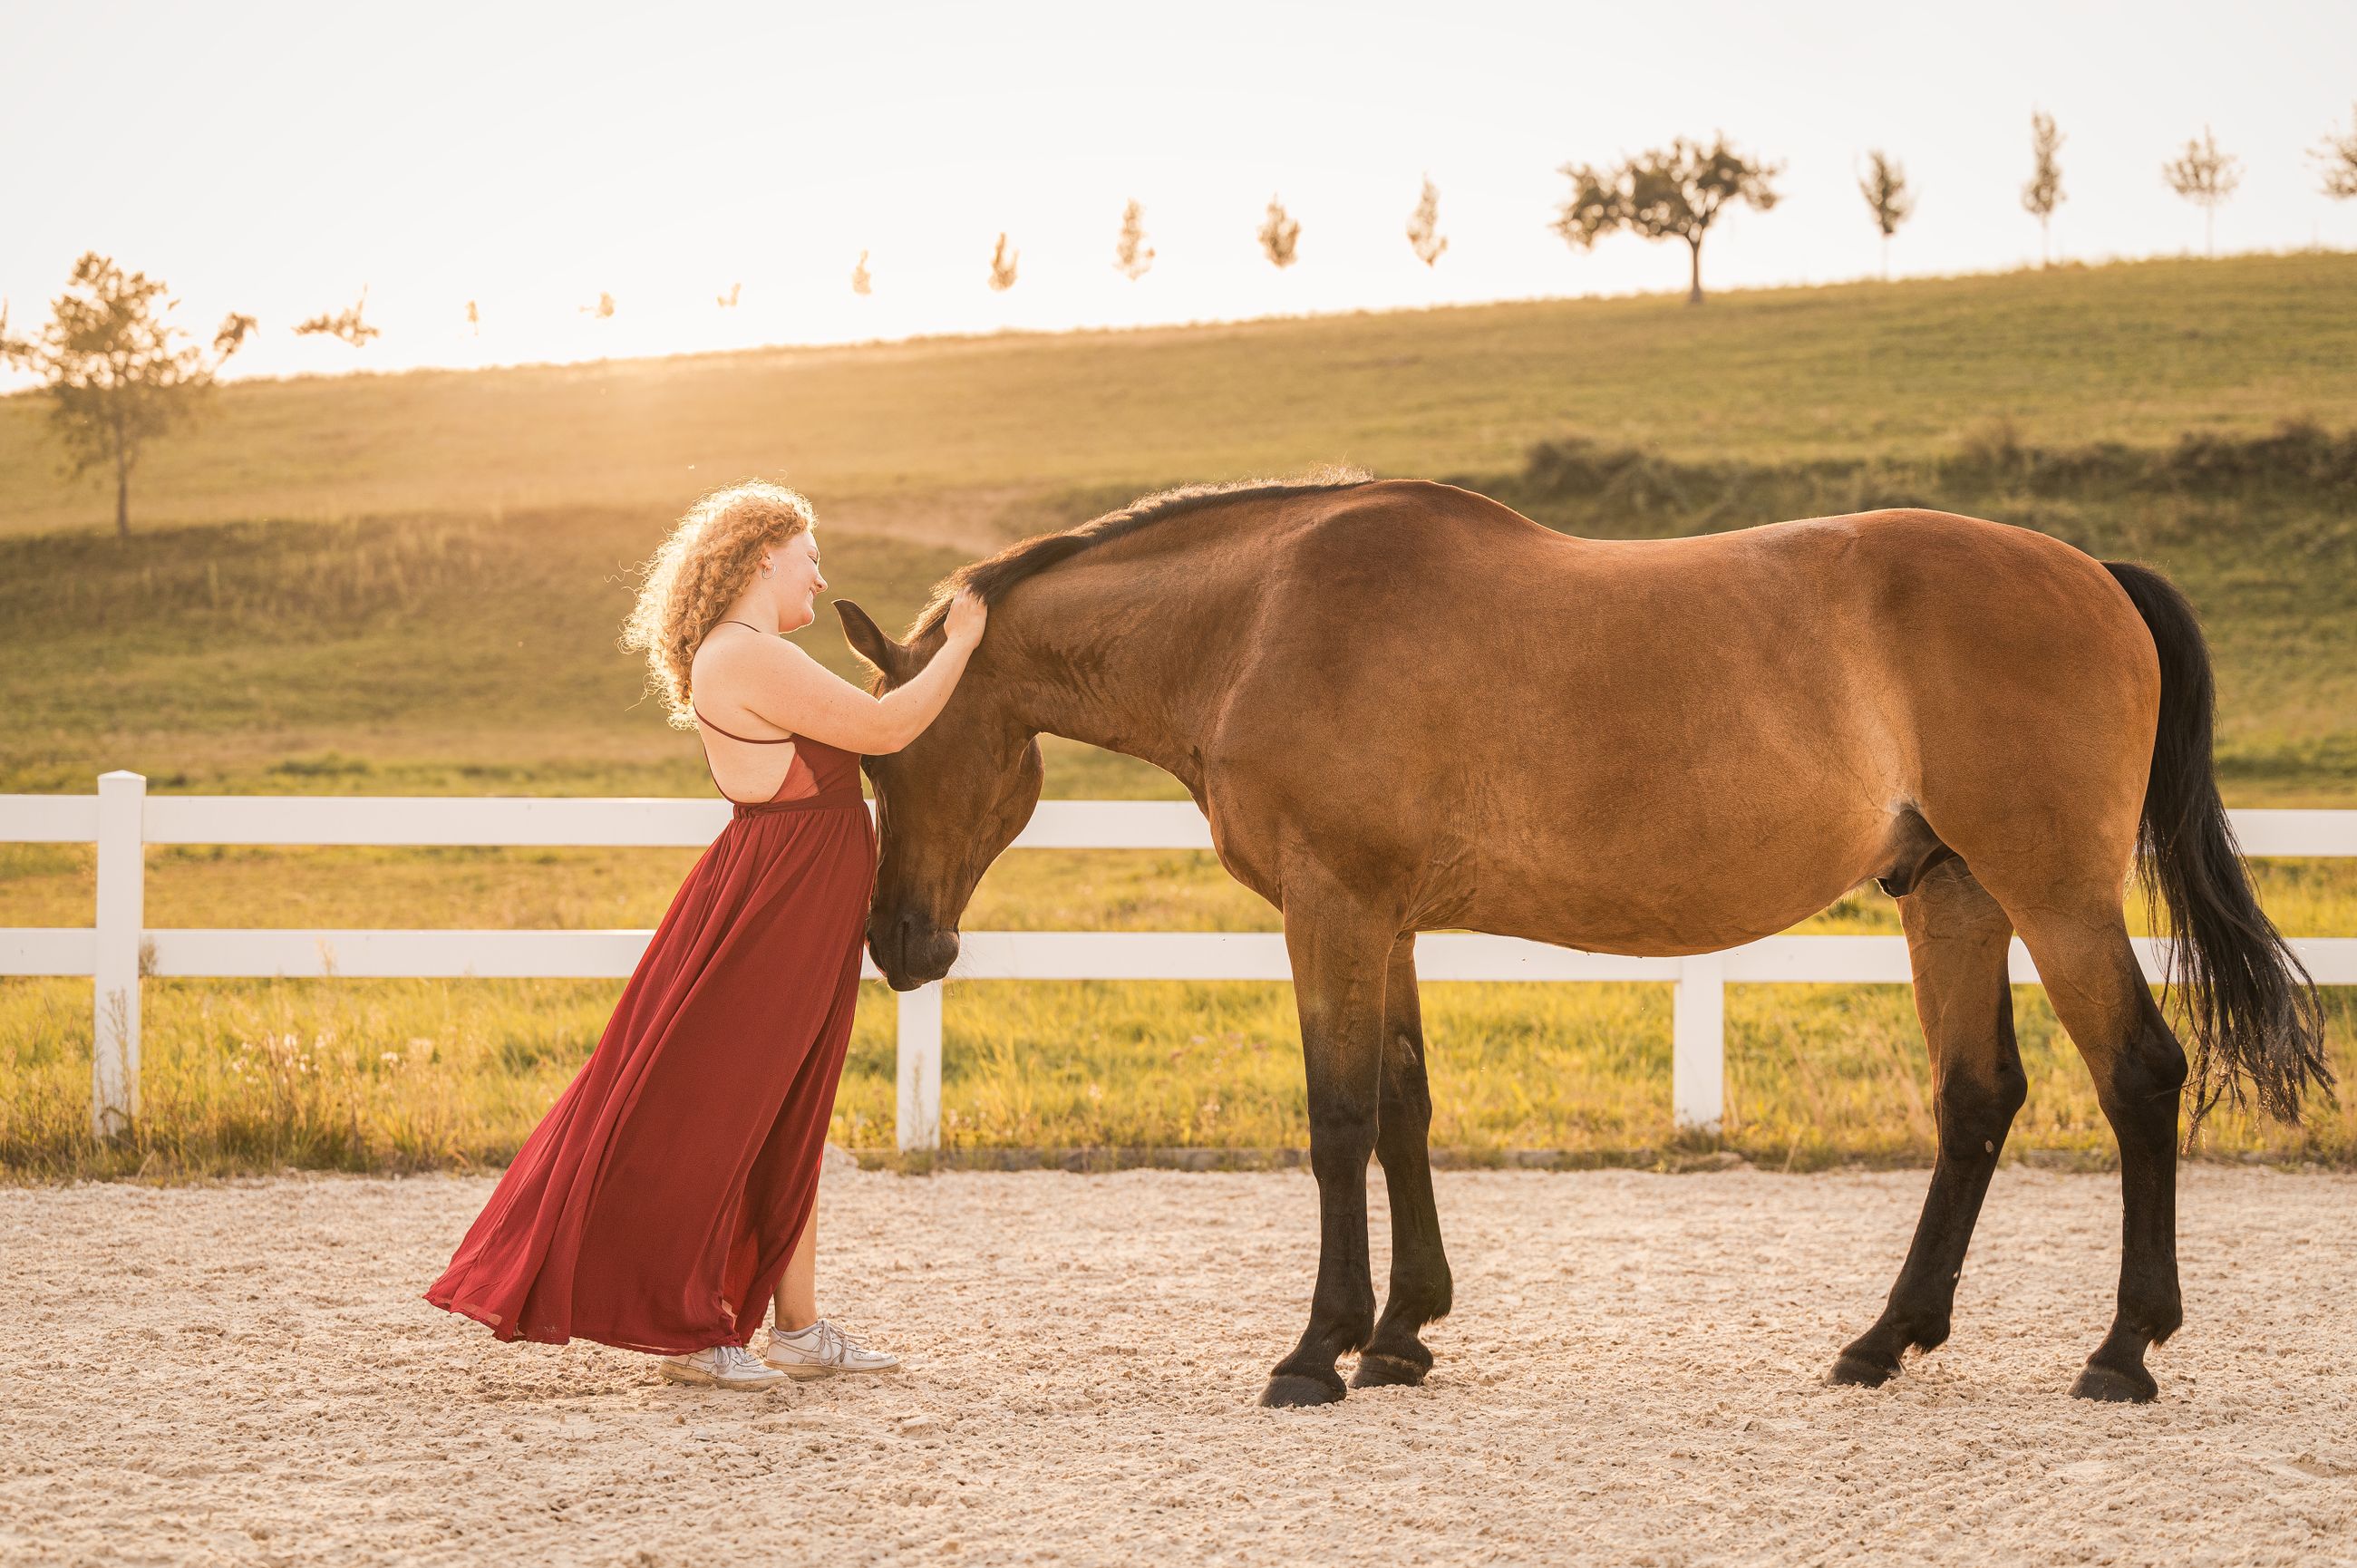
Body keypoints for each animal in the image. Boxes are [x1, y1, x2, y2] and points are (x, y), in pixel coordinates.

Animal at [835, 474, 2326, 1408]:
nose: (899, 944)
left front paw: (1318, 1348)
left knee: (2138, 1076)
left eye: (886, 756)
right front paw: (1404, 1333)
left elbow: (1335, 1116)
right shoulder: (1388, 921)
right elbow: (1404, 1107)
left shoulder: (1333, 908)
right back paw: (1883, 1337)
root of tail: (2092, 573)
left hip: (2054, 894)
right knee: (1975, 1099)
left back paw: (2123, 1348)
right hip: (1951, 893)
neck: (1259, 619)